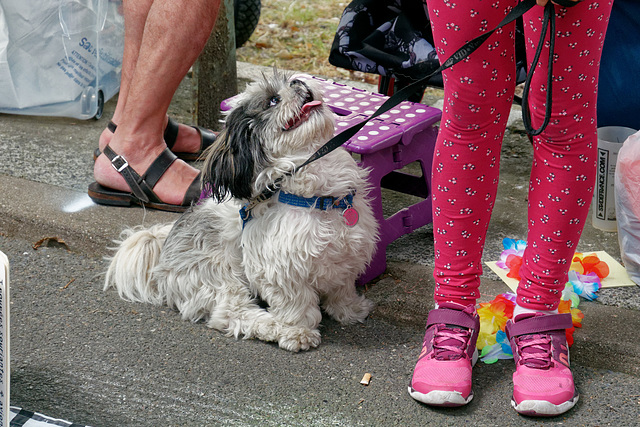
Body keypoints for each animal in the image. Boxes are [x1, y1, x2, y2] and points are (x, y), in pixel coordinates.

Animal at [105, 72, 380, 352]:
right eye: (273, 100)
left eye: (290, 81)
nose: (298, 82)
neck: (320, 198)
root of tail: (163, 248)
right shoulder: (280, 271)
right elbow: (297, 304)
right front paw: (298, 331)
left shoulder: (345, 258)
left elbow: (341, 290)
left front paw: (350, 310)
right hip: (216, 277)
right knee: (231, 313)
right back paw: (272, 327)